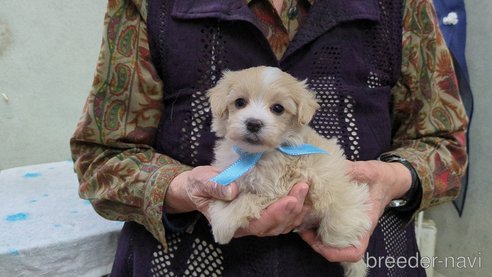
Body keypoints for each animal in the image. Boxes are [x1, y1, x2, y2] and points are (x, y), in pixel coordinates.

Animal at [206, 66, 370, 274]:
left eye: (278, 108)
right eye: (240, 102)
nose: (253, 123)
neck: (253, 155)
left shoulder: (276, 188)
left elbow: (245, 199)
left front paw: (223, 226)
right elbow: (225, 197)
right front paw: (218, 214)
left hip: (339, 216)